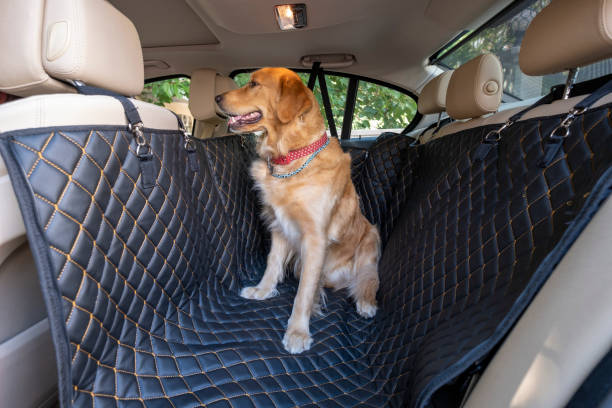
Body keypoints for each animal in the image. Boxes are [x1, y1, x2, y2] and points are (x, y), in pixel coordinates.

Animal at [214, 67, 378, 354]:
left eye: (254, 84)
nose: (216, 98)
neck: (291, 156)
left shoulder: (315, 238)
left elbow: (303, 293)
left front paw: (298, 332)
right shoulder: (279, 226)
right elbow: (272, 263)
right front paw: (262, 291)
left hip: (371, 238)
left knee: (366, 279)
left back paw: (364, 302)